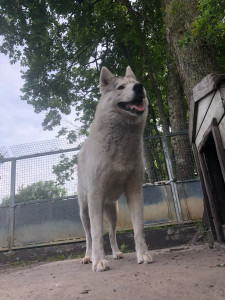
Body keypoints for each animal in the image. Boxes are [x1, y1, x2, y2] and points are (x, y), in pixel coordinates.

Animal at [78, 66, 153, 272]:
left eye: (135, 83)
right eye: (120, 87)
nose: (139, 87)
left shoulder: (135, 191)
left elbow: (138, 228)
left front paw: (143, 255)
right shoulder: (95, 195)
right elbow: (96, 234)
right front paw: (98, 261)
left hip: (113, 212)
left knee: (111, 233)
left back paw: (116, 253)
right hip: (85, 210)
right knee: (89, 235)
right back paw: (88, 257)